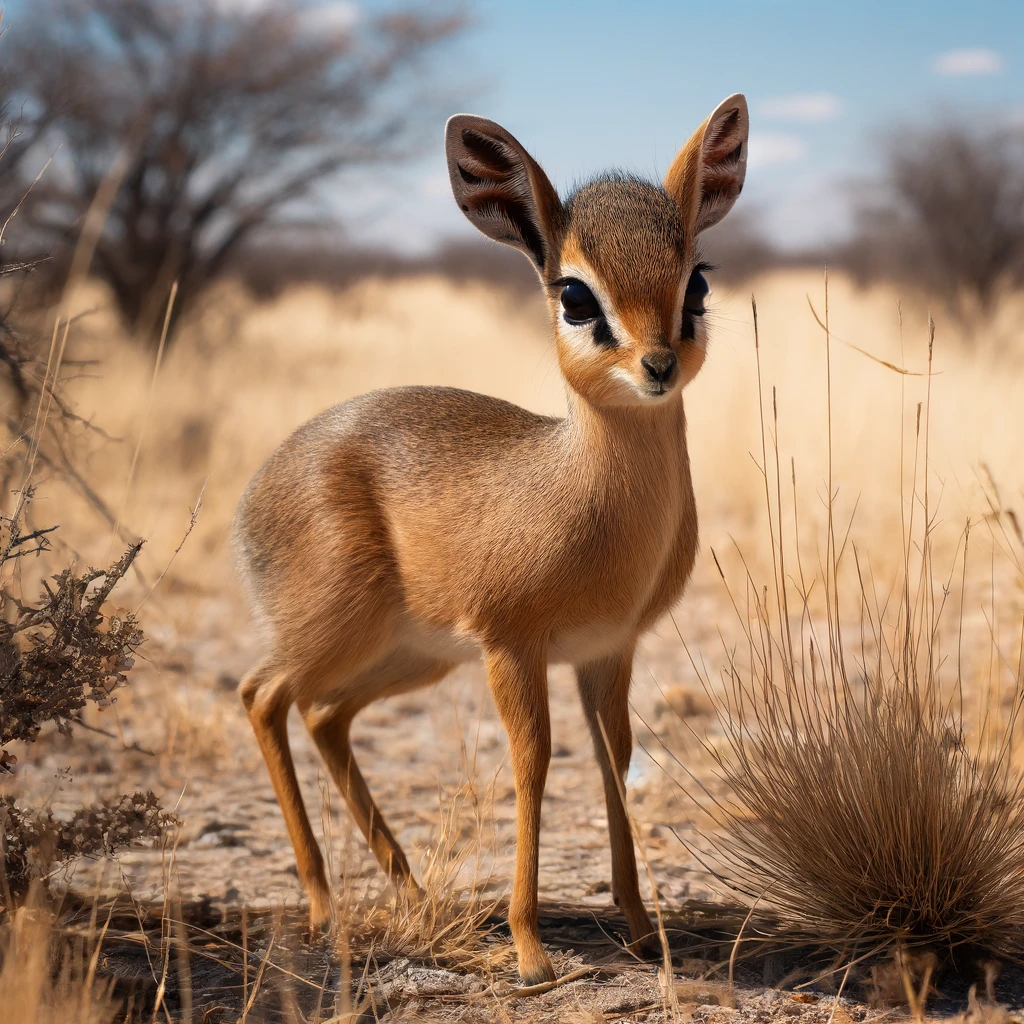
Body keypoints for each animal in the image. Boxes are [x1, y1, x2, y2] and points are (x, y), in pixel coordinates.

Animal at [235, 97, 749, 983]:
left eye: (697, 280)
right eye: (574, 294)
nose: (656, 365)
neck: (582, 495)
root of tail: (259, 487)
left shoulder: (605, 652)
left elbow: (614, 761)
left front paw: (641, 928)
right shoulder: (513, 647)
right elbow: (533, 765)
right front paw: (530, 948)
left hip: (413, 656)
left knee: (325, 715)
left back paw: (410, 893)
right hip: (337, 635)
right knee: (262, 695)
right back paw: (326, 907)